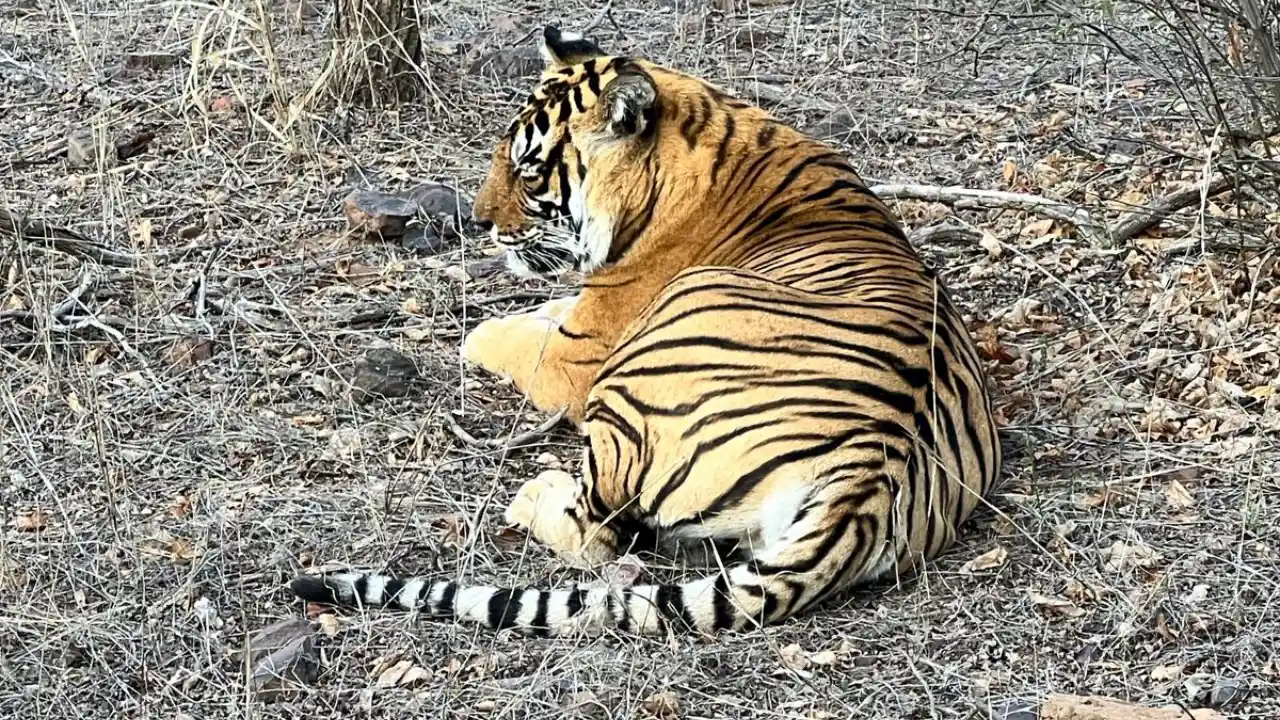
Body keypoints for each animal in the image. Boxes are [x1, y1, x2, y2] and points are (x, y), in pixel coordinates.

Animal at [290, 24, 1003, 638]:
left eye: (527, 168)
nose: (481, 222)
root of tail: (869, 481)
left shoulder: (578, 355)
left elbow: (501, 336)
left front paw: (484, 331)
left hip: (643, 375)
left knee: (595, 532)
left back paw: (531, 495)